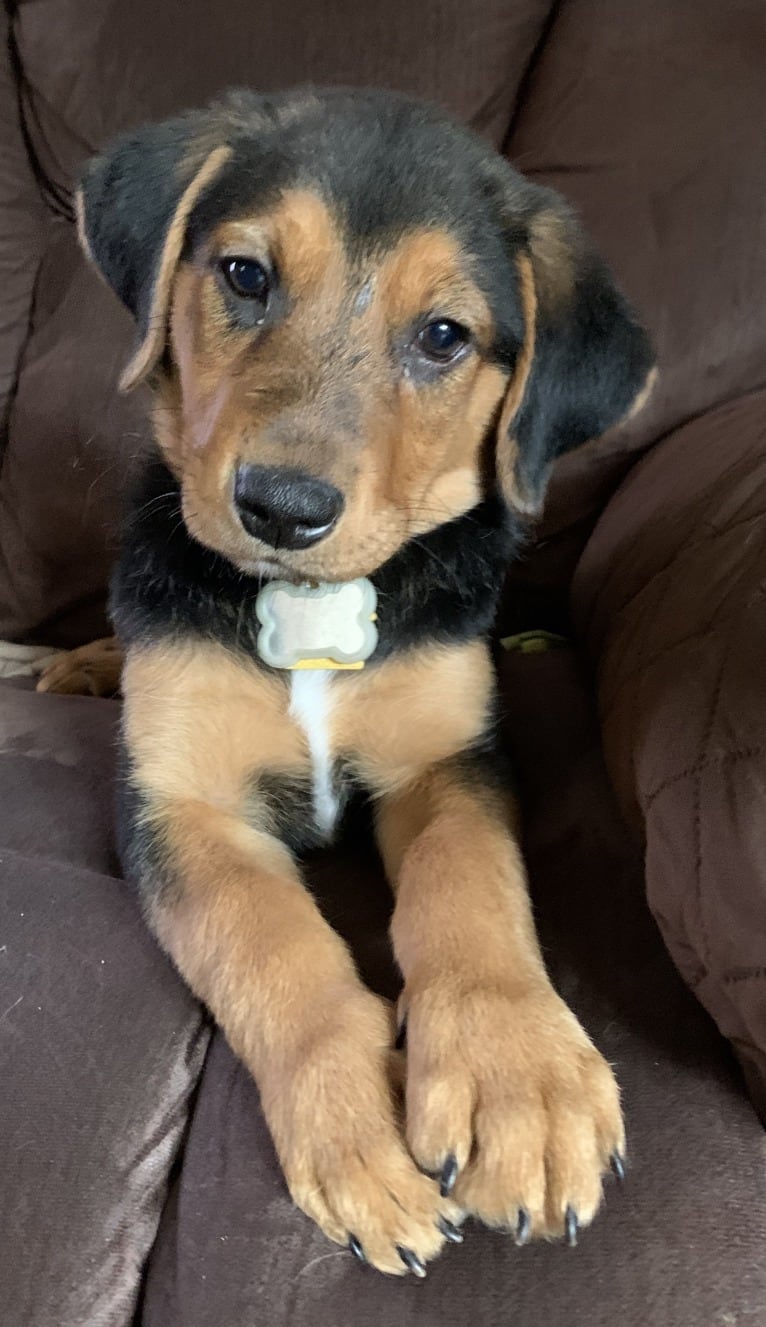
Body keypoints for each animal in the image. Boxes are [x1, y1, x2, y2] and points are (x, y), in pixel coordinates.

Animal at [43, 90, 650, 1273]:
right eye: (244, 275)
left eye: (444, 336)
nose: (281, 507)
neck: (311, 602)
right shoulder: (179, 801)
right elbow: (275, 946)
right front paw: (356, 1127)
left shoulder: (448, 759)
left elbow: (469, 889)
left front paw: (521, 1084)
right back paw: (79, 661)